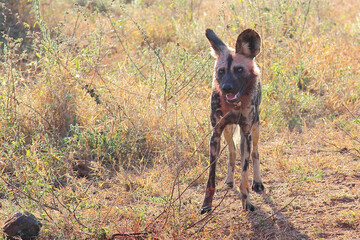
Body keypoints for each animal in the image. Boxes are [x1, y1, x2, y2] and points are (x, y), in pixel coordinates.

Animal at [201, 28, 262, 214]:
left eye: (239, 69)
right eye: (221, 71)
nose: (227, 87)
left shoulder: (246, 132)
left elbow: (244, 174)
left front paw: (246, 201)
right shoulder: (216, 133)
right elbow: (211, 178)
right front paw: (207, 204)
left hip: (255, 130)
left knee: (255, 153)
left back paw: (258, 182)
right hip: (228, 131)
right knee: (232, 152)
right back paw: (229, 180)